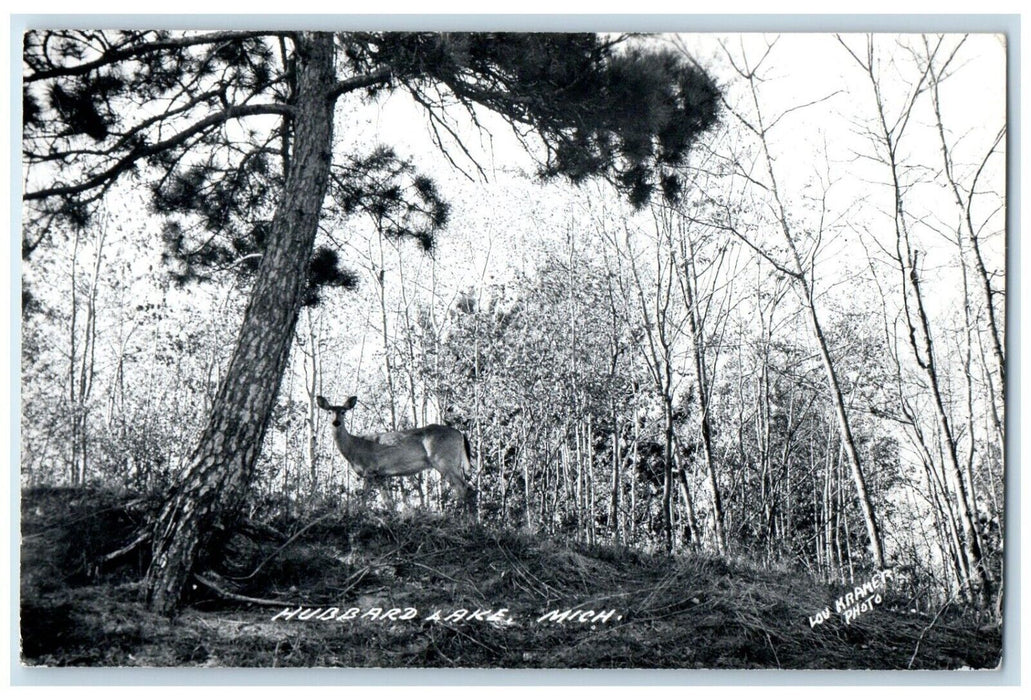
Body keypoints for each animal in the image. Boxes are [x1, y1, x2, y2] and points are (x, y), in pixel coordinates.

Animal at [316, 395, 477, 513]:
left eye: (343, 412)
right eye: (329, 411)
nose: (336, 422)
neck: (354, 447)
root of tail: (460, 434)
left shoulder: (370, 470)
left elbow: (364, 498)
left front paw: (360, 513)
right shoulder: (380, 475)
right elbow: (388, 501)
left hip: (444, 460)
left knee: (464, 488)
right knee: (467, 488)